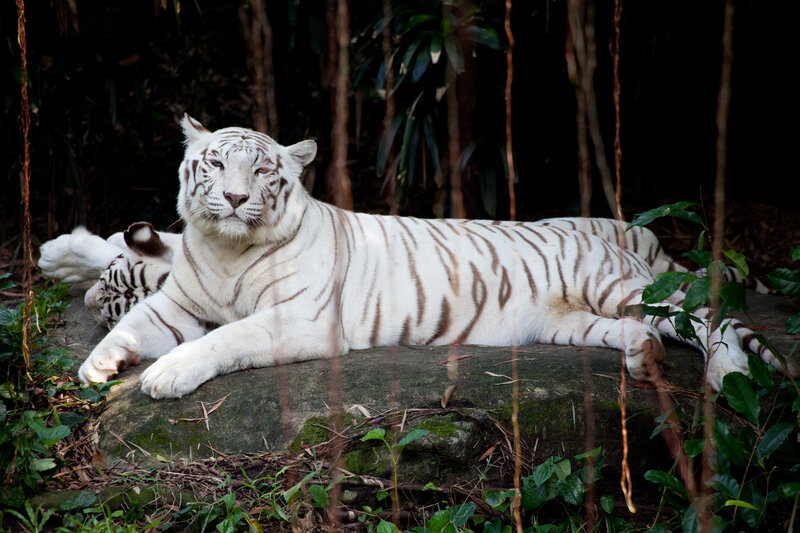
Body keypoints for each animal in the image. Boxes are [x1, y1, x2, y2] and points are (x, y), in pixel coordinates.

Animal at [70, 115, 792, 399]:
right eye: (216, 164)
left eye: (264, 171)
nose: (236, 197)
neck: (224, 248)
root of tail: (611, 236)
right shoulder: (179, 301)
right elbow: (135, 327)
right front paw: (99, 364)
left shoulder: (299, 319)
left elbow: (223, 339)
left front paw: (166, 375)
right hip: (570, 320)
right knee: (644, 332)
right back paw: (644, 359)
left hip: (622, 287)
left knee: (709, 321)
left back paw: (729, 373)